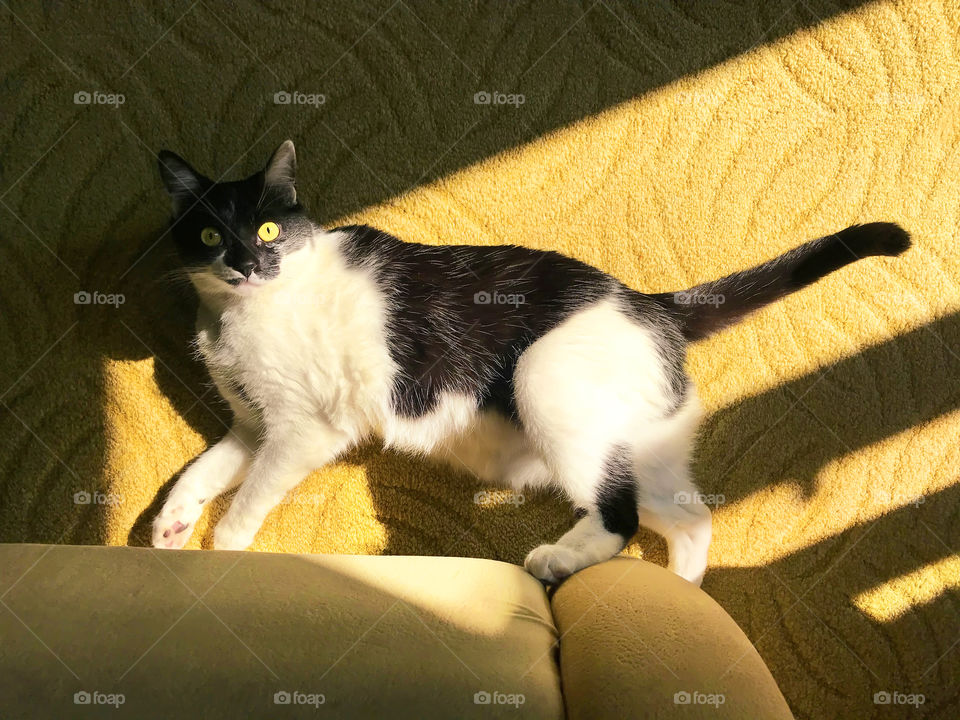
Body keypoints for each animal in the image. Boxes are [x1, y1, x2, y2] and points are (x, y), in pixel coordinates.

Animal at [154, 139, 912, 584]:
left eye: (268, 228)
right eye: (209, 236)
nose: (245, 262)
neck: (234, 320)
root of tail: (652, 305)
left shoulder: (305, 429)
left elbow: (249, 494)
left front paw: (224, 549)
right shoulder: (255, 424)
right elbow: (206, 469)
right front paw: (172, 523)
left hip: (543, 382)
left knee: (620, 517)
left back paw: (558, 561)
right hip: (639, 447)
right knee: (690, 517)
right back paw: (679, 591)